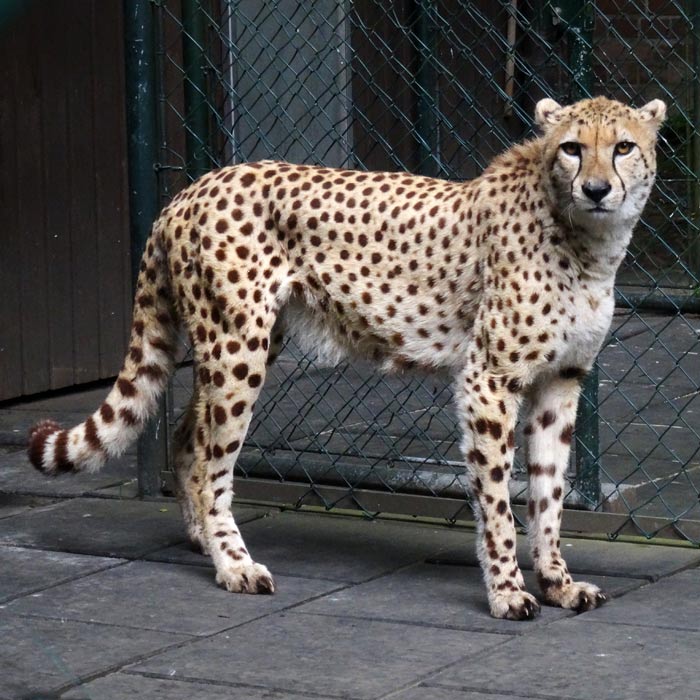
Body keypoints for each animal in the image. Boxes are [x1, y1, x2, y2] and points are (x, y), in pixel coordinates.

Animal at [27, 97, 664, 616]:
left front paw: (558, 583)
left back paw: (203, 541)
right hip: (237, 347)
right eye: (573, 149)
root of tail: (191, 187)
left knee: (188, 437)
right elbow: (498, 500)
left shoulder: (561, 379)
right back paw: (234, 564)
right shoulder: (490, 378)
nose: (597, 190)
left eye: (623, 147)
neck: (586, 242)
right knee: (212, 462)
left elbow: (550, 493)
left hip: (248, 342)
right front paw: (507, 591)